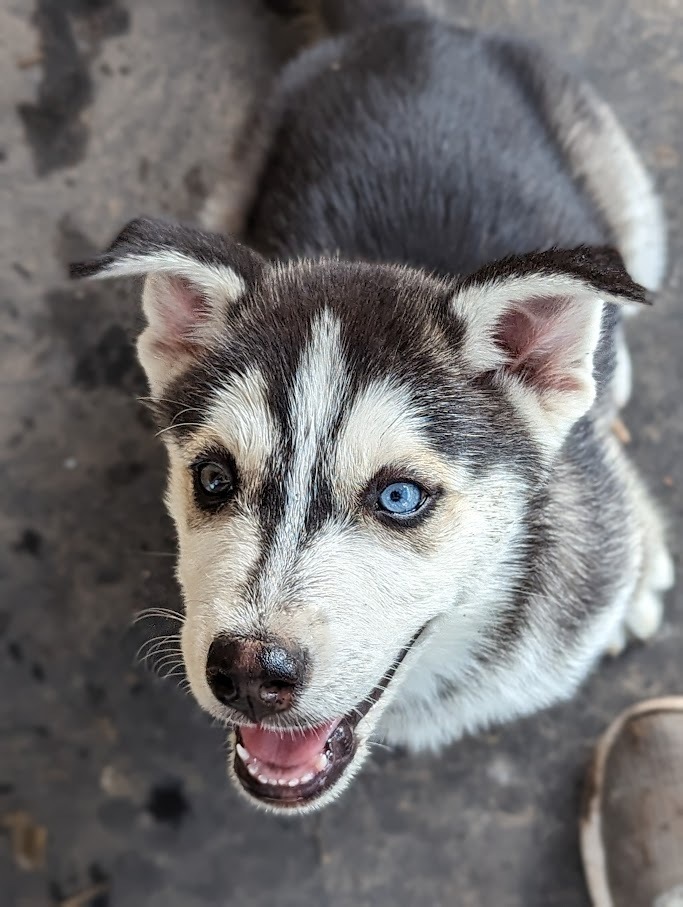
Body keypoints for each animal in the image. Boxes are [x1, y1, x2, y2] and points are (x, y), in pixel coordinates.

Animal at [69, 0, 672, 816]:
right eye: (213, 480)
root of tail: (408, 28)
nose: (250, 671)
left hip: (627, 207)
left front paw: (641, 555)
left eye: (399, 497)